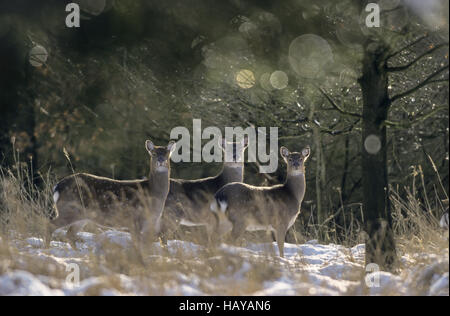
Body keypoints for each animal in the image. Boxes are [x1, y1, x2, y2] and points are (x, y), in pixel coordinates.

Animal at [47, 139, 176, 251]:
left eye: (167, 154)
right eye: (153, 154)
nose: (161, 161)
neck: (153, 193)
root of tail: (57, 187)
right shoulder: (135, 220)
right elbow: (138, 244)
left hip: (81, 216)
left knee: (69, 234)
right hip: (69, 209)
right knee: (50, 225)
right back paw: (47, 248)